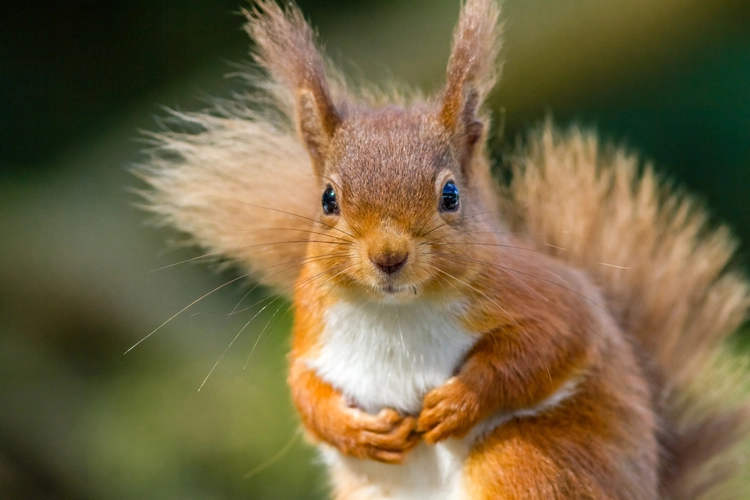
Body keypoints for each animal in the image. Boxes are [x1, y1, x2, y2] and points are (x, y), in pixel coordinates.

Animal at [138, 0, 750, 498]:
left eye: (450, 194)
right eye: (328, 199)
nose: (388, 257)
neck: (396, 310)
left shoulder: (546, 294)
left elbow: (551, 345)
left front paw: (460, 401)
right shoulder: (314, 328)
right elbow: (303, 391)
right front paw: (355, 430)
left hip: (526, 459)